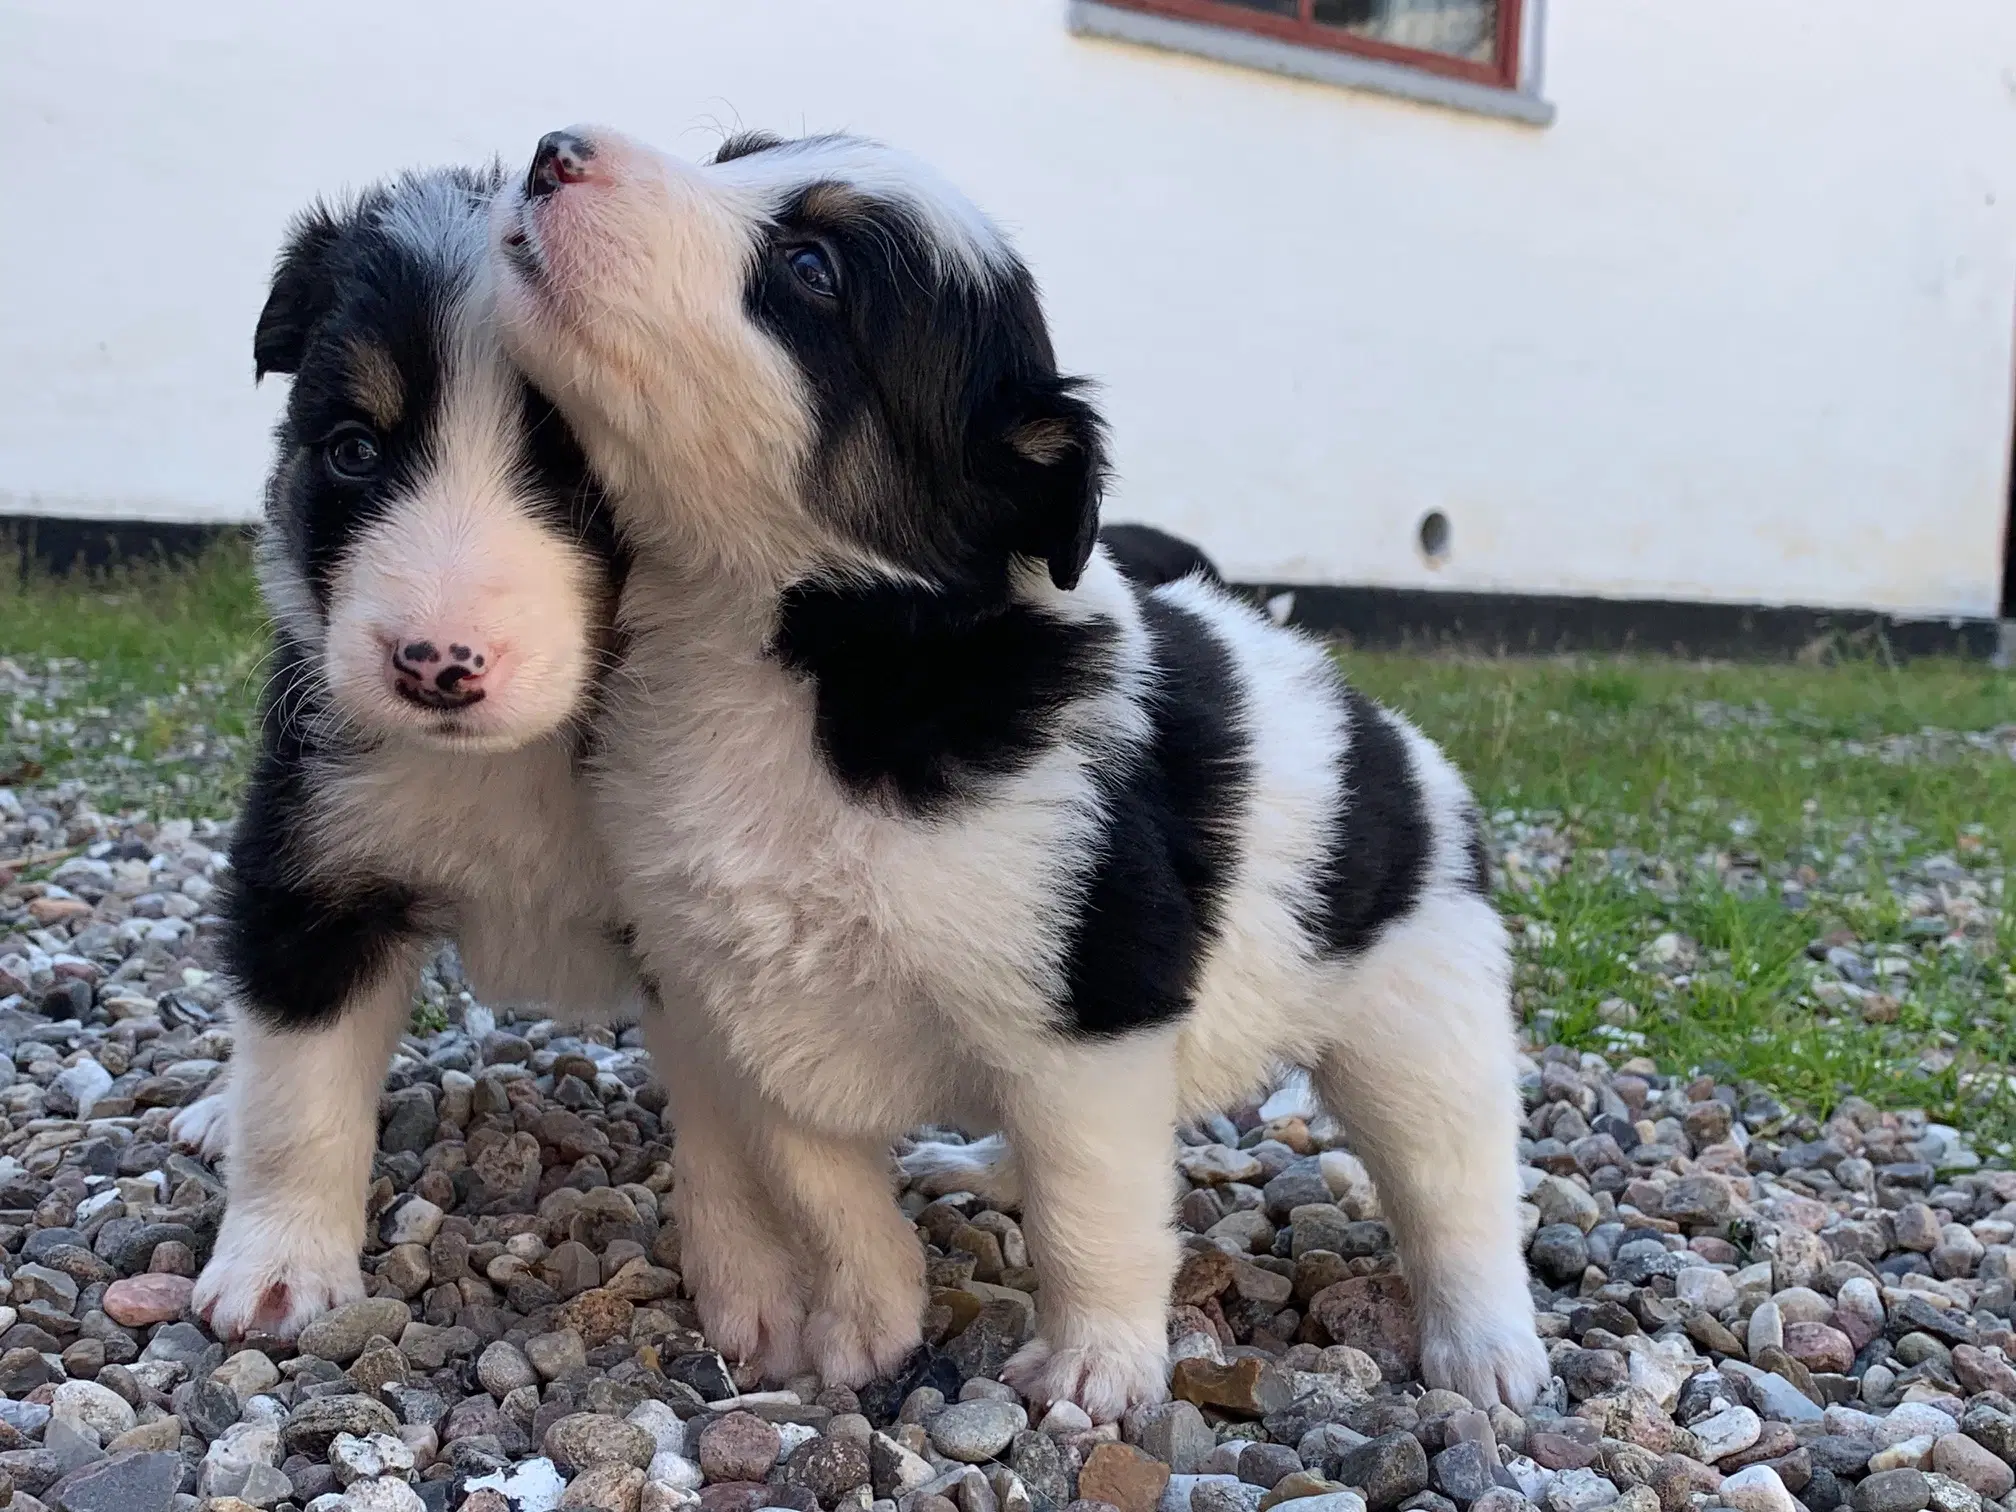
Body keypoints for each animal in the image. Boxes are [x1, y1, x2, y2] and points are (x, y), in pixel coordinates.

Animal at [187, 165, 645, 1346]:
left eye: (591, 475)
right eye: (354, 449)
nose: (436, 664)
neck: (518, 756)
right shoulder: (307, 866)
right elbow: (298, 1093)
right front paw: (276, 1273)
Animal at [487, 130, 1540, 1419]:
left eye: (811, 270)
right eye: (736, 155)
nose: (554, 151)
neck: (819, 651)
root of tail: (1389, 734)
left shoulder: (1092, 1021)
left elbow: (1094, 1212)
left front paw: (1096, 1364)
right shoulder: (746, 1003)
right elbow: (823, 1188)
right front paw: (870, 1326)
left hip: (1418, 1018)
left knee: (1457, 1187)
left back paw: (1486, 1346)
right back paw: (981, 1167)